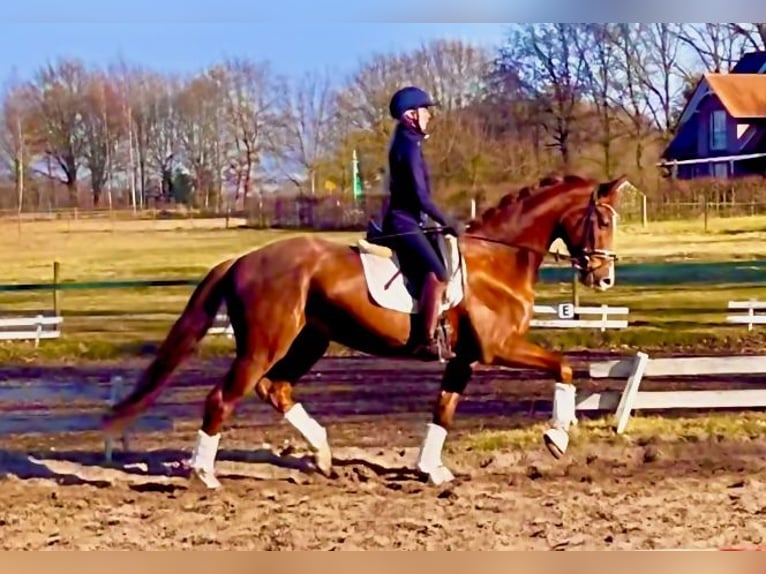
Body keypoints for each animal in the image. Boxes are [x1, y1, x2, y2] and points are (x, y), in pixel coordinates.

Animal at [105, 172, 628, 490]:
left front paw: (431, 469)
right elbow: (563, 368)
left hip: (310, 339)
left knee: (275, 388)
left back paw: (321, 456)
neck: (497, 259)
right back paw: (204, 474)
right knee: (224, 397)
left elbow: (444, 409)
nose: (603, 278)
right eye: (602, 219)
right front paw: (557, 437)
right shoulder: (500, 348)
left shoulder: (464, 358)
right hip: (265, 344)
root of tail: (242, 260)